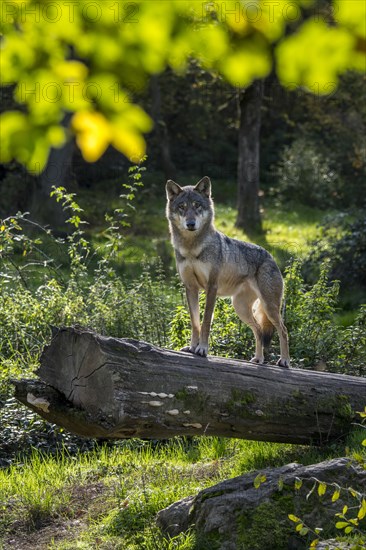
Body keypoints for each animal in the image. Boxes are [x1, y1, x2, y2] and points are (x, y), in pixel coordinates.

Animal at [167, 176, 292, 366]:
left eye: (197, 205)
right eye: (182, 207)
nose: (190, 224)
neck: (191, 248)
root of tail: (270, 256)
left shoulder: (211, 287)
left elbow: (205, 322)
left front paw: (202, 349)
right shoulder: (191, 288)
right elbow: (195, 322)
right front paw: (192, 347)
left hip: (269, 308)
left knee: (283, 331)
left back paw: (284, 361)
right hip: (240, 308)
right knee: (258, 330)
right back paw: (258, 359)